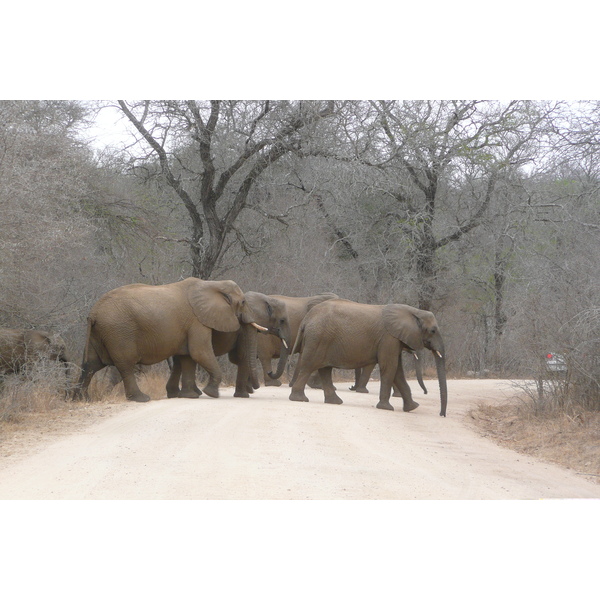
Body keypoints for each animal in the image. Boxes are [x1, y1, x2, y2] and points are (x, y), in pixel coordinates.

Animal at [72, 278, 264, 404]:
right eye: (243, 302)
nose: (256, 388)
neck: (211, 284)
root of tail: (93, 312)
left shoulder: (190, 325)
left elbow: (188, 357)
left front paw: (190, 396)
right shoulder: (197, 321)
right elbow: (199, 352)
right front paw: (210, 394)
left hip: (100, 333)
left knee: (90, 365)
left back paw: (82, 400)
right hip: (119, 332)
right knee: (125, 365)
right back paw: (142, 399)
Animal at [288, 300, 448, 418]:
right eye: (433, 330)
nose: (442, 415)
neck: (413, 311)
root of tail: (306, 319)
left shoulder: (394, 340)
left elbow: (398, 372)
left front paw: (412, 408)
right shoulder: (388, 338)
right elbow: (389, 367)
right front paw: (387, 408)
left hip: (323, 339)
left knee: (325, 370)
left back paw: (335, 402)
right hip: (319, 338)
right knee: (309, 366)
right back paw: (299, 399)